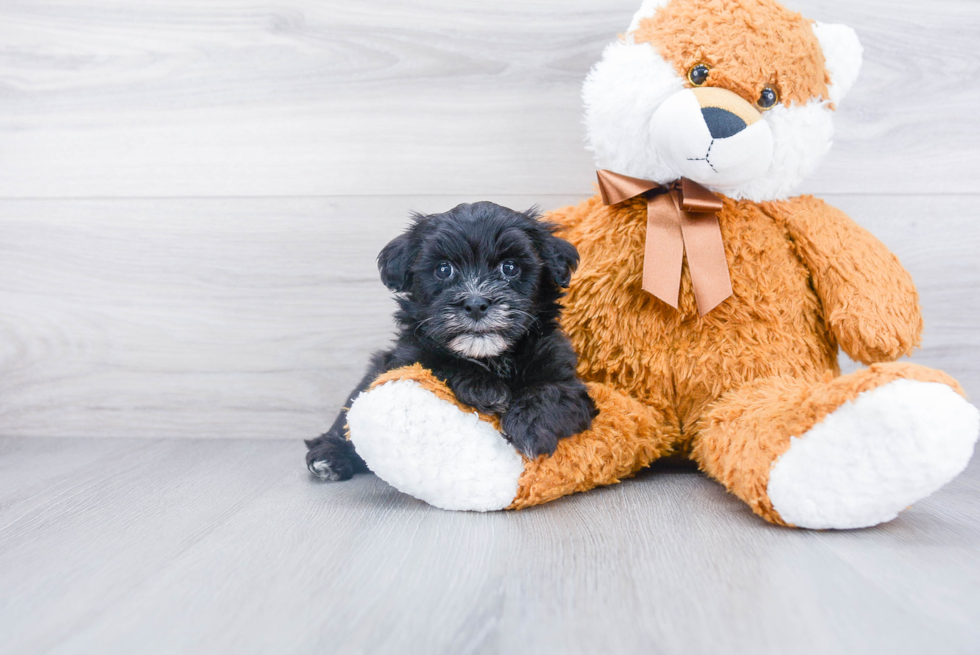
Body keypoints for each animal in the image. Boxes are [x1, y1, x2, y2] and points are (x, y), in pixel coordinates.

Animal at [306, 201, 596, 482]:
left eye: (510, 267)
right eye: (443, 270)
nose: (476, 304)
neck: (491, 357)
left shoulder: (561, 369)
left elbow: (552, 390)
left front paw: (530, 427)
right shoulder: (406, 357)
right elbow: (438, 363)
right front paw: (485, 387)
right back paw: (329, 456)